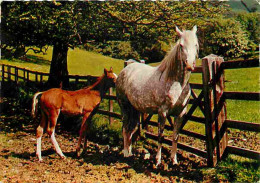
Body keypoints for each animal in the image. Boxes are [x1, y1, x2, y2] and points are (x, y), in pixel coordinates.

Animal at [116, 25, 199, 166]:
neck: (175, 82)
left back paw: (131, 152)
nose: (190, 65)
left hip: (134, 108)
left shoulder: (180, 113)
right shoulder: (162, 112)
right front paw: (158, 161)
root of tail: (125, 70)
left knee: (130, 129)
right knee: (125, 128)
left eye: (196, 44)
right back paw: (126, 153)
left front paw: (174, 160)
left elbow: (175, 137)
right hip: (125, 106)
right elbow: (161, 136)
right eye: (181, 45)